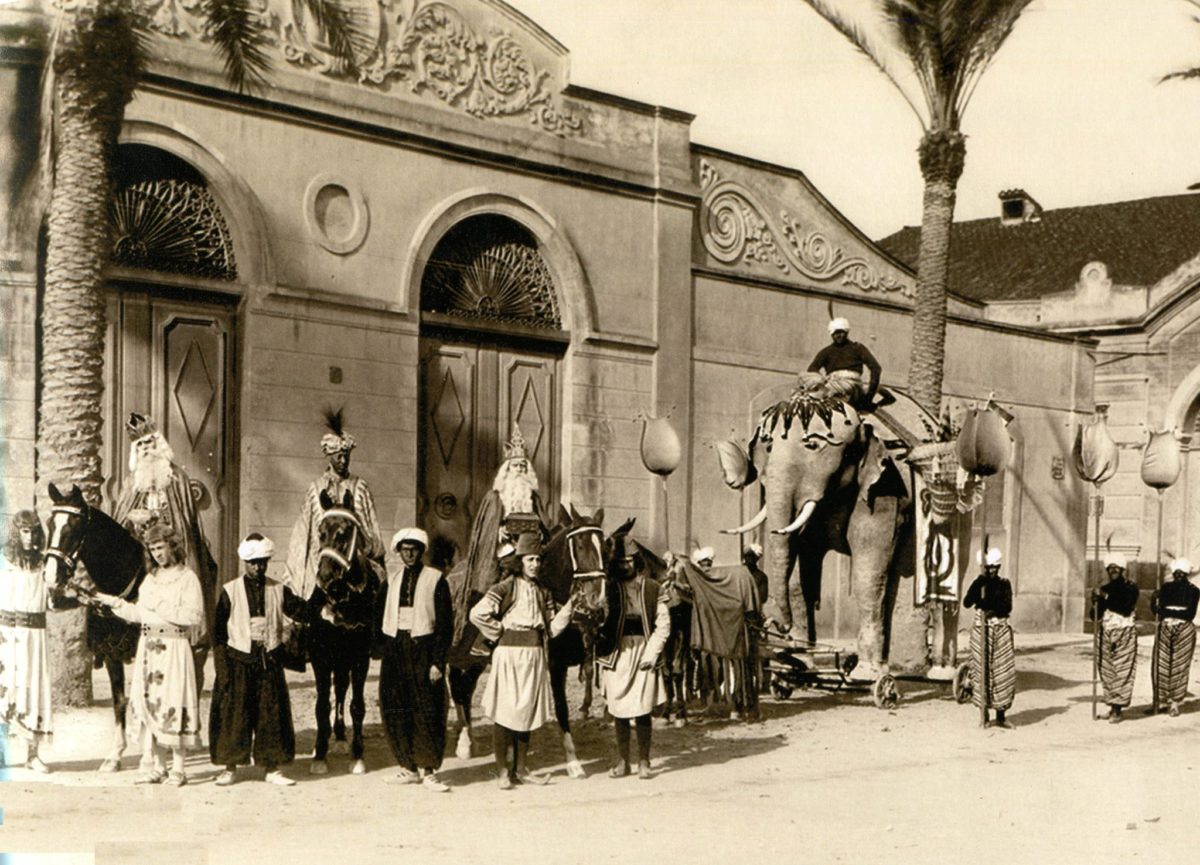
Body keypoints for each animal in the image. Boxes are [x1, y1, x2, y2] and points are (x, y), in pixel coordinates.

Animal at [42, 482, 147, 772]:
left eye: (73, 527)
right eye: (50, 524)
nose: (50, 576)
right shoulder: (112, 653)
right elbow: (119, 701)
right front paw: (115, 756)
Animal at [448, 503, 633, 777]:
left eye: (604, 547)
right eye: (579, 547)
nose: (596, 601)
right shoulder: (555, 664)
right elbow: (560, 707)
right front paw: (573, 761)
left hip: (474, 658)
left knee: (465, 686)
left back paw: (468, 738)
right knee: (457, 685)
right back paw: (463, 741)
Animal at [720, 374, 907, 676]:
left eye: (814, 446)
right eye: (768, 447)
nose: (778, 626)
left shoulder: (884, 488)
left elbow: (868, 571)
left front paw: (868, 672)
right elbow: (798, 573)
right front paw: (800, 663)